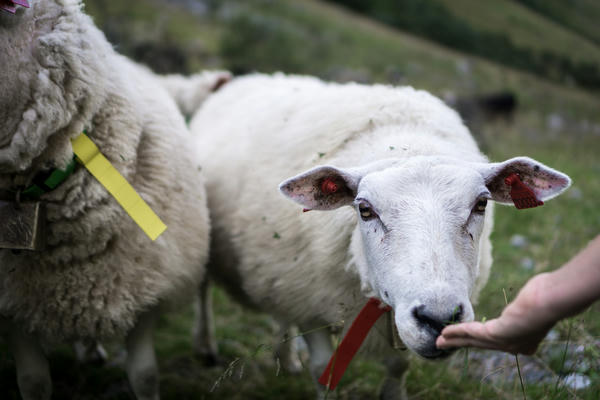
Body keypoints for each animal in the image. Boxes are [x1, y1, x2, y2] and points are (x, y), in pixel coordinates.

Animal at [189, 73, 572, 398]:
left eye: (480, 204)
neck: (408, 141)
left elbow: (397, 366)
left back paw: (286, 358)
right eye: (364, 209)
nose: (439, 320)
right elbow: (324, 372)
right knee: (204, 290)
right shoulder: (314, 302)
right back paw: (207, 347)